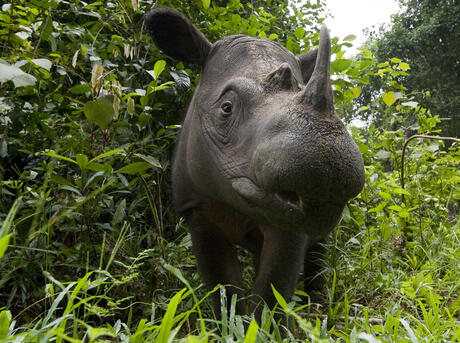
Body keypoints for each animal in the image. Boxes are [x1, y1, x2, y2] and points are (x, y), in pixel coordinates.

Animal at [146, 8, 364, 320]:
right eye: (226, 108)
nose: (328, 174)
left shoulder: (290, 222)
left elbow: (273, 291)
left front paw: (262, 324)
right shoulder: (196, 209)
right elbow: (223, 287)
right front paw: (232, 323)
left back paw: (315, 306)